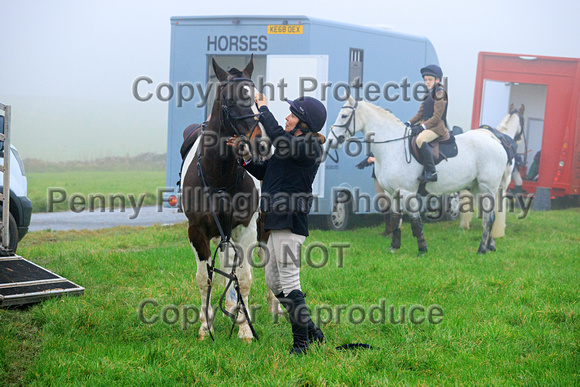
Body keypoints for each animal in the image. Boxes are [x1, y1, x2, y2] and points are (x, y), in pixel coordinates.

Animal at [328, 97, 516, 255]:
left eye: (344, 115)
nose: (331, 140)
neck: (392, 146)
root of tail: (496, 141)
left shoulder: (407, 192)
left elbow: (415, 220)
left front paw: (422, 249)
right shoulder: (393, 192)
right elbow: (396, 219)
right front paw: (394, 247)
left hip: (487, 187)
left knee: (490, 218)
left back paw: (481, 249)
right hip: (477, 188)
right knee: (491, 216)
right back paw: (490, 246)